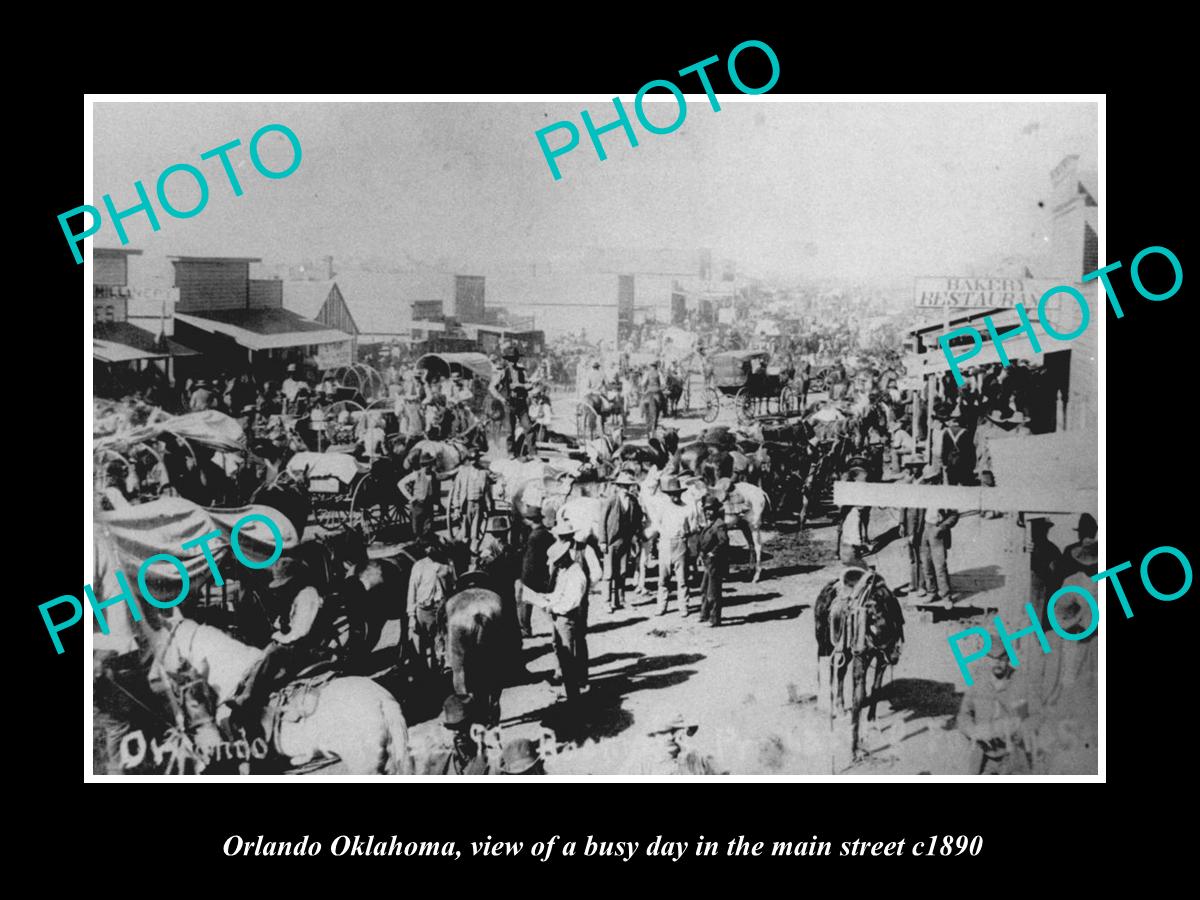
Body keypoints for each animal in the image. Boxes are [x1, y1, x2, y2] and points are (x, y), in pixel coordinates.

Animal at [811, 566, 902, 763]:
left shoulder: (880, 659)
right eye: (872, 624)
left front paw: (872, 722)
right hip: (825, 646)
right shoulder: (862, 659)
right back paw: (827, 706)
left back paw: (839, 707)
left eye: (896, 624)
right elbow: (857, 697)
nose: (895, 656)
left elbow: (875, 689)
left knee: (840, 672)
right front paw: (854, 750)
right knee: (827, 671)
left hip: (846, 652)